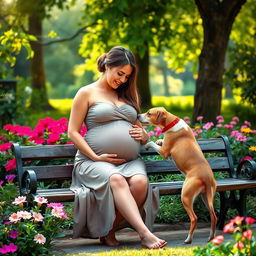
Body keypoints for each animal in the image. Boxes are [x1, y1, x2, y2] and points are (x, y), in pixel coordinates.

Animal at [139, 106, 217, 244]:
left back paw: (188, 239)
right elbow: (158, 141)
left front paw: (148, 144)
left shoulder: (164, 152)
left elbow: (151, 143)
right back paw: (211, 237)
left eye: (149, 113)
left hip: (185, 196)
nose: (138, 116)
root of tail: (207, 177)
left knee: (194, 218)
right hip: (207, 197)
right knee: (214, 216)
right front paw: (159, 140)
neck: (171, 122)